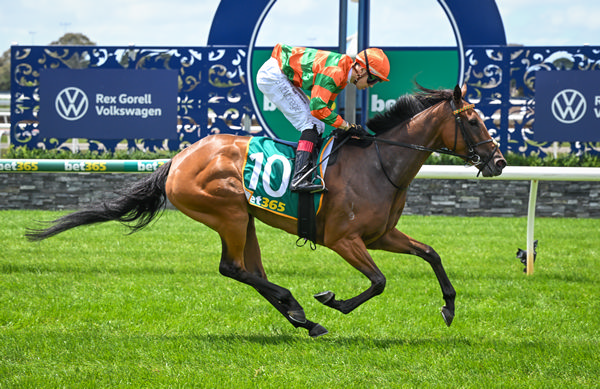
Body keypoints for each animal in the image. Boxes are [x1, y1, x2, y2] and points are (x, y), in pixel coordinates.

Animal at [28, 84, 506, 336]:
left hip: (245, 219)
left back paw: (300, 316)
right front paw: (332, 300)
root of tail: (178, 159)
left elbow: (431, 254)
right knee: (233, 268)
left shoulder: (380, 235)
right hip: (228, 213)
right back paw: (300, 309)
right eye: (473, 120)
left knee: (249, 270)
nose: (499, 161)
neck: (379, 163)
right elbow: (379, 282)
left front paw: (449, 307)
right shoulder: (343, 239)